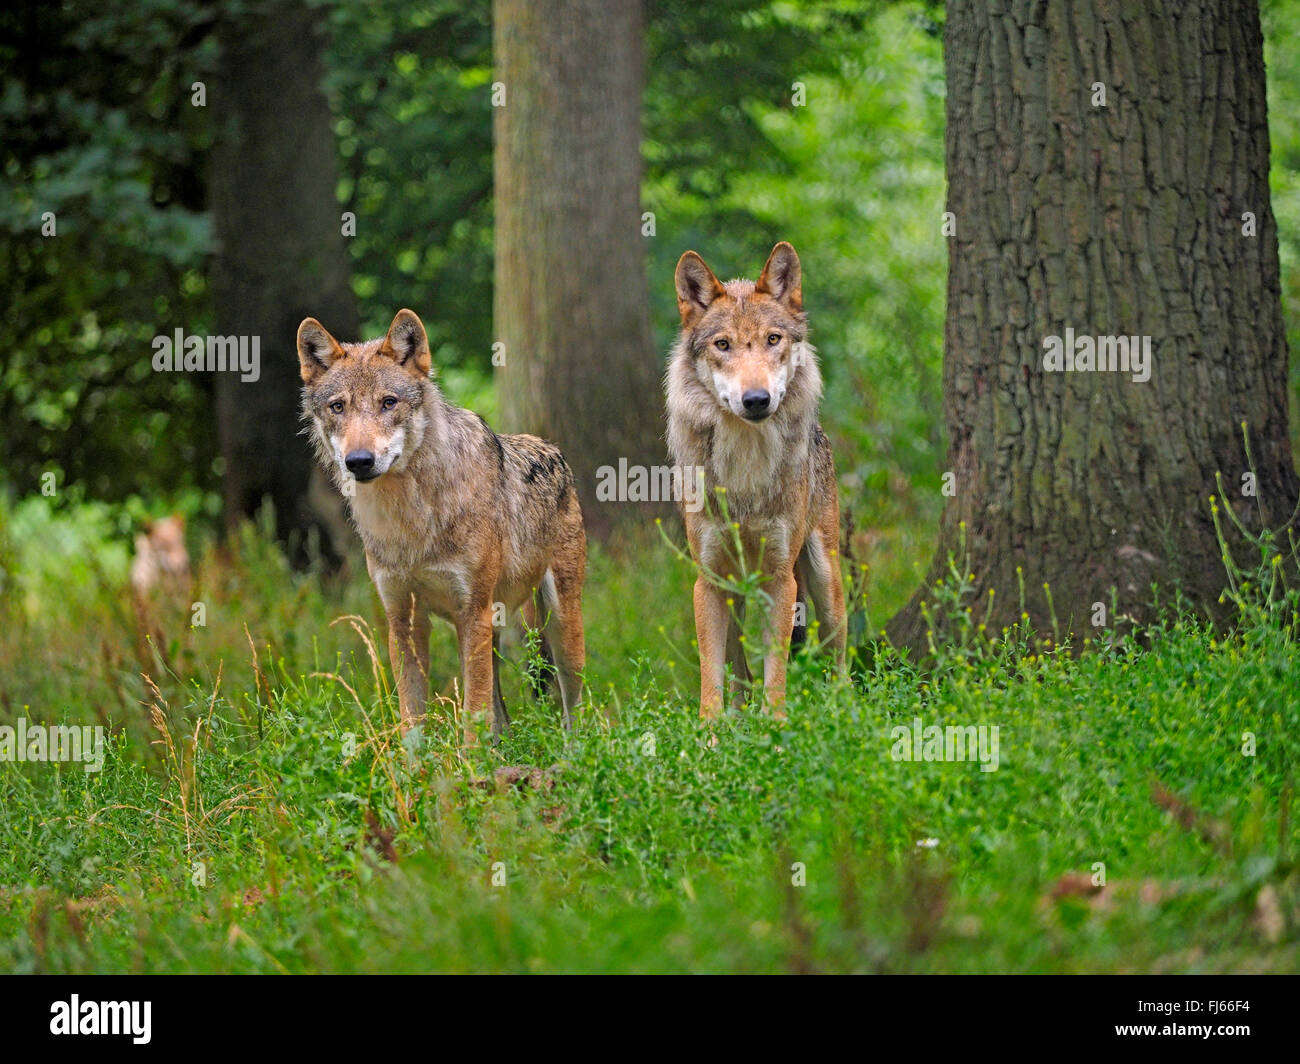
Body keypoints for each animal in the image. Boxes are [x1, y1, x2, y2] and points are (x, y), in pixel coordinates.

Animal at [295, 306, 585, 738]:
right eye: (337, 407)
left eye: (388, 402)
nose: (359, 461)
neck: (409, 522)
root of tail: (554, 450)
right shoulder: (403, 620)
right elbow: (412, 721)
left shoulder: (473, 611)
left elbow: (473, 714)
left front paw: (469, 757)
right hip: (491, 630)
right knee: (503, 716)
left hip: (558, 625)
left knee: (574, 709)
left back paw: (577, 750)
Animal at [665, 244, 847, 718]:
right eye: (723, 344)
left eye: (773, 340)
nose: (756, 399)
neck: (745, 470)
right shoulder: (709, 581)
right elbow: (711, 679)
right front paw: (711, 732)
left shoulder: (780, 579)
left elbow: (776, 674)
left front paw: (776, 728)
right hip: (735, 592)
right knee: (738, 668)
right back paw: (737, 715)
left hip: (824, 580)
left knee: (838, 657)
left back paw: (844, 712)